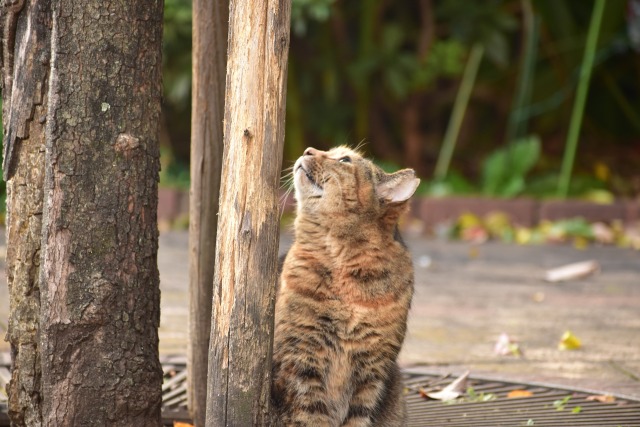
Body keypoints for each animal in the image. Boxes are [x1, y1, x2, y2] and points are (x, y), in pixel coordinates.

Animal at [272, 145, 418, 426]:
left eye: (344, 159)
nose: (308, 149)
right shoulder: (300, 359)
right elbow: (310, 416)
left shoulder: (372, 372)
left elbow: (358, 418)